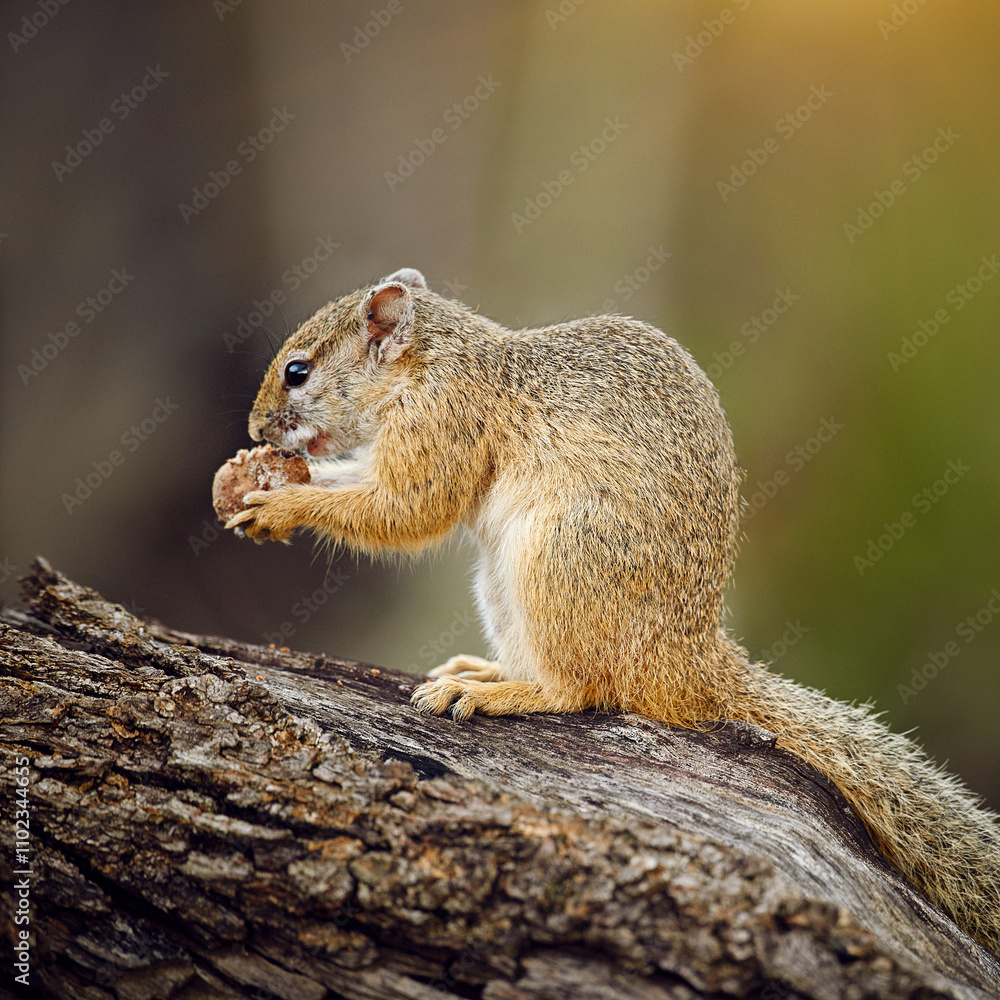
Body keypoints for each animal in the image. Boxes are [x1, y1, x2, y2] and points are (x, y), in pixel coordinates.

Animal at [226, 267, 1000, 958]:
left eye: (297, 371)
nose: (256, 426)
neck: (434, 360)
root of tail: (684, 663)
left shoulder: (443, 423)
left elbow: (406, 509)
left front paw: (280, 504)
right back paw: (486, 670)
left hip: (554, 558)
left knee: (580, 690)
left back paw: (503, 692)